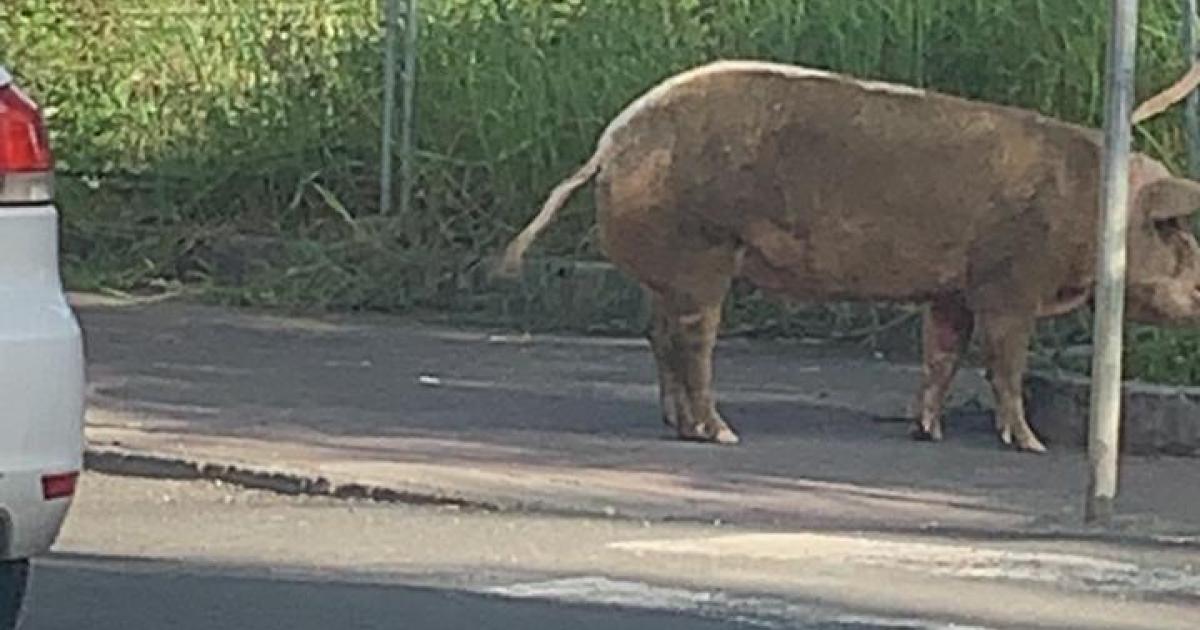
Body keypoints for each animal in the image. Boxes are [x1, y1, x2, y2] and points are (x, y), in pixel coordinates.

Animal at [492, 60, 1200, 451]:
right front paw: (1031, 447)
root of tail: (611, 143)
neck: (1094, 204)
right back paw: (720, 432)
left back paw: (680, 426)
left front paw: (928, 432)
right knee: (692, 343)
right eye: (1177, 238)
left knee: (658, 336)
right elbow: (1004, 363)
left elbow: (941, 357)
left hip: (671, 268)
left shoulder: (950, 289)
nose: (1198, 295)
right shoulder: (1008, 283)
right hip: (702, 252)